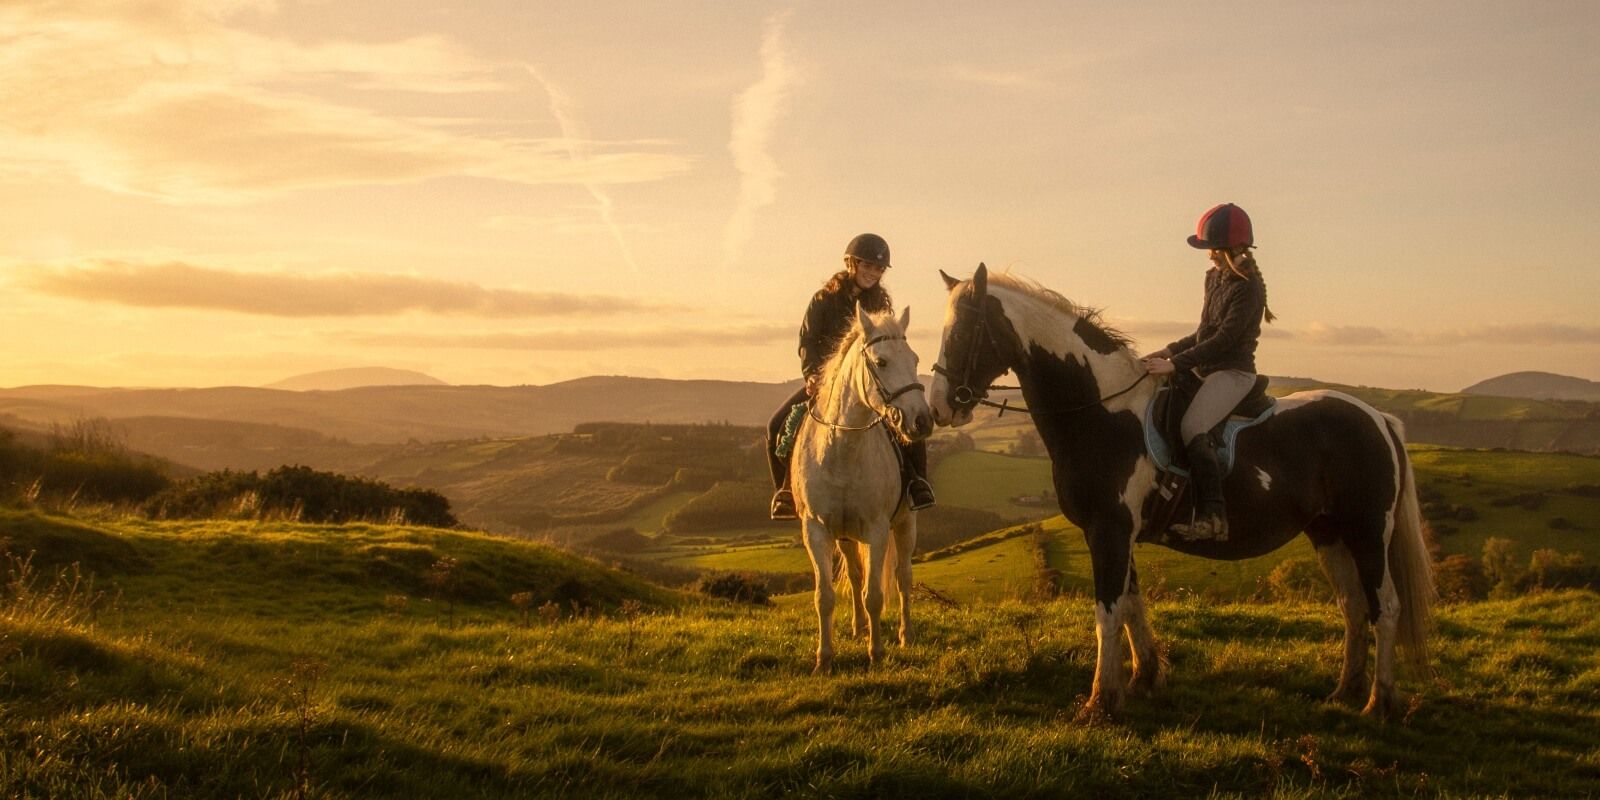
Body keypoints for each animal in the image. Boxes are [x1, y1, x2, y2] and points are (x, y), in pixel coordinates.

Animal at [790, 305, 934, 675]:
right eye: (881, 362)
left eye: (915, 359)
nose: (922, 421)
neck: (842, 448)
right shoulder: (815, 530)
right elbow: (825, 596)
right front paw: (824, 659)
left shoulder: (878, 529)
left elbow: (875, 595)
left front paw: (877, 653)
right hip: (844, 535)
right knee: (855, 576)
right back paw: (858, 629)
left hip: (906, 524)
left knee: (903, 577)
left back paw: (905, 635)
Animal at [928, 267, 1440, 720]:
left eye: (963, 332)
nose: (938, 408)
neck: (1103, 412)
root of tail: (1378, 419)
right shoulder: (1117, 533)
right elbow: (1132, 607)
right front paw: (1143, 680)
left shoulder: (1108, 530)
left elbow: (1108, 612)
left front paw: (1100, 703)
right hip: (1329, 533)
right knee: (1354, 608)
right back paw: (1345, 692)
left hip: (1368, 532)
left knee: (1385, 608)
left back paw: (1379, 702)